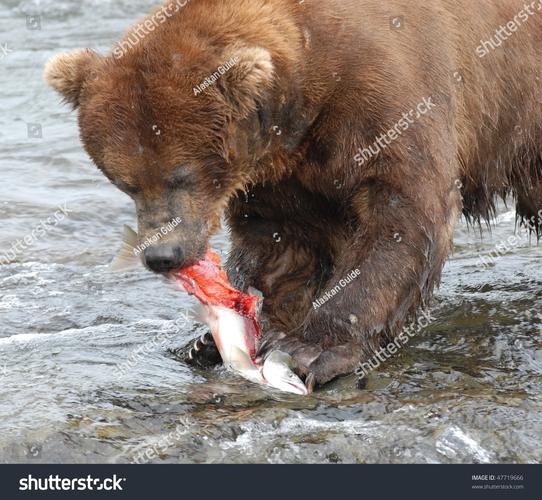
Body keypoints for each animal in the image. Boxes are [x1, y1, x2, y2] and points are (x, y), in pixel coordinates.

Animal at [44, 0, 542, 390]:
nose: (163, 255)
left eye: (181, 176)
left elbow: (402, 215)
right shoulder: (282, 174)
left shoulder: (388, 96)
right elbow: (285, 243)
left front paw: (310, 348)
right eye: (123, 181)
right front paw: (213, 338)